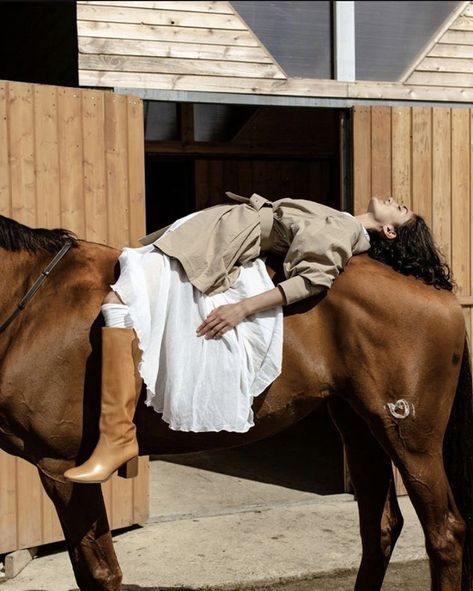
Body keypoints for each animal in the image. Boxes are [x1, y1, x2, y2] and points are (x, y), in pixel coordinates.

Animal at [0, 216, 470, 591]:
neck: (36, 302)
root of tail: (432, 287)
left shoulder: (61, 467)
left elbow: (99, 573)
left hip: (410, 439)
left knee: (444, 534)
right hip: (360, 428)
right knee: (381, 528)